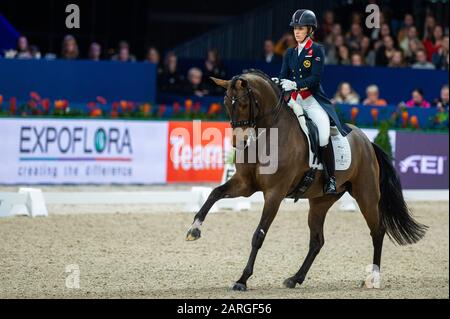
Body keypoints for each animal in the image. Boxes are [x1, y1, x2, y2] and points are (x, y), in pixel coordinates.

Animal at [185, 70, 428, 292]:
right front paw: (194, 230)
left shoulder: (275, 193)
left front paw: (242, 280)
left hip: (366, 195)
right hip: (321, 201)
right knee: (317, 241)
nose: (239, 142)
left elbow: (258, 235)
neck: (268, 133)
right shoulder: (245, 184)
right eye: (226, 103)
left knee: (377, 231)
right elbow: (214, 193)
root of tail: (366, 141)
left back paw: (373, 278)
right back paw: (295, 278)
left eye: (244, 103)